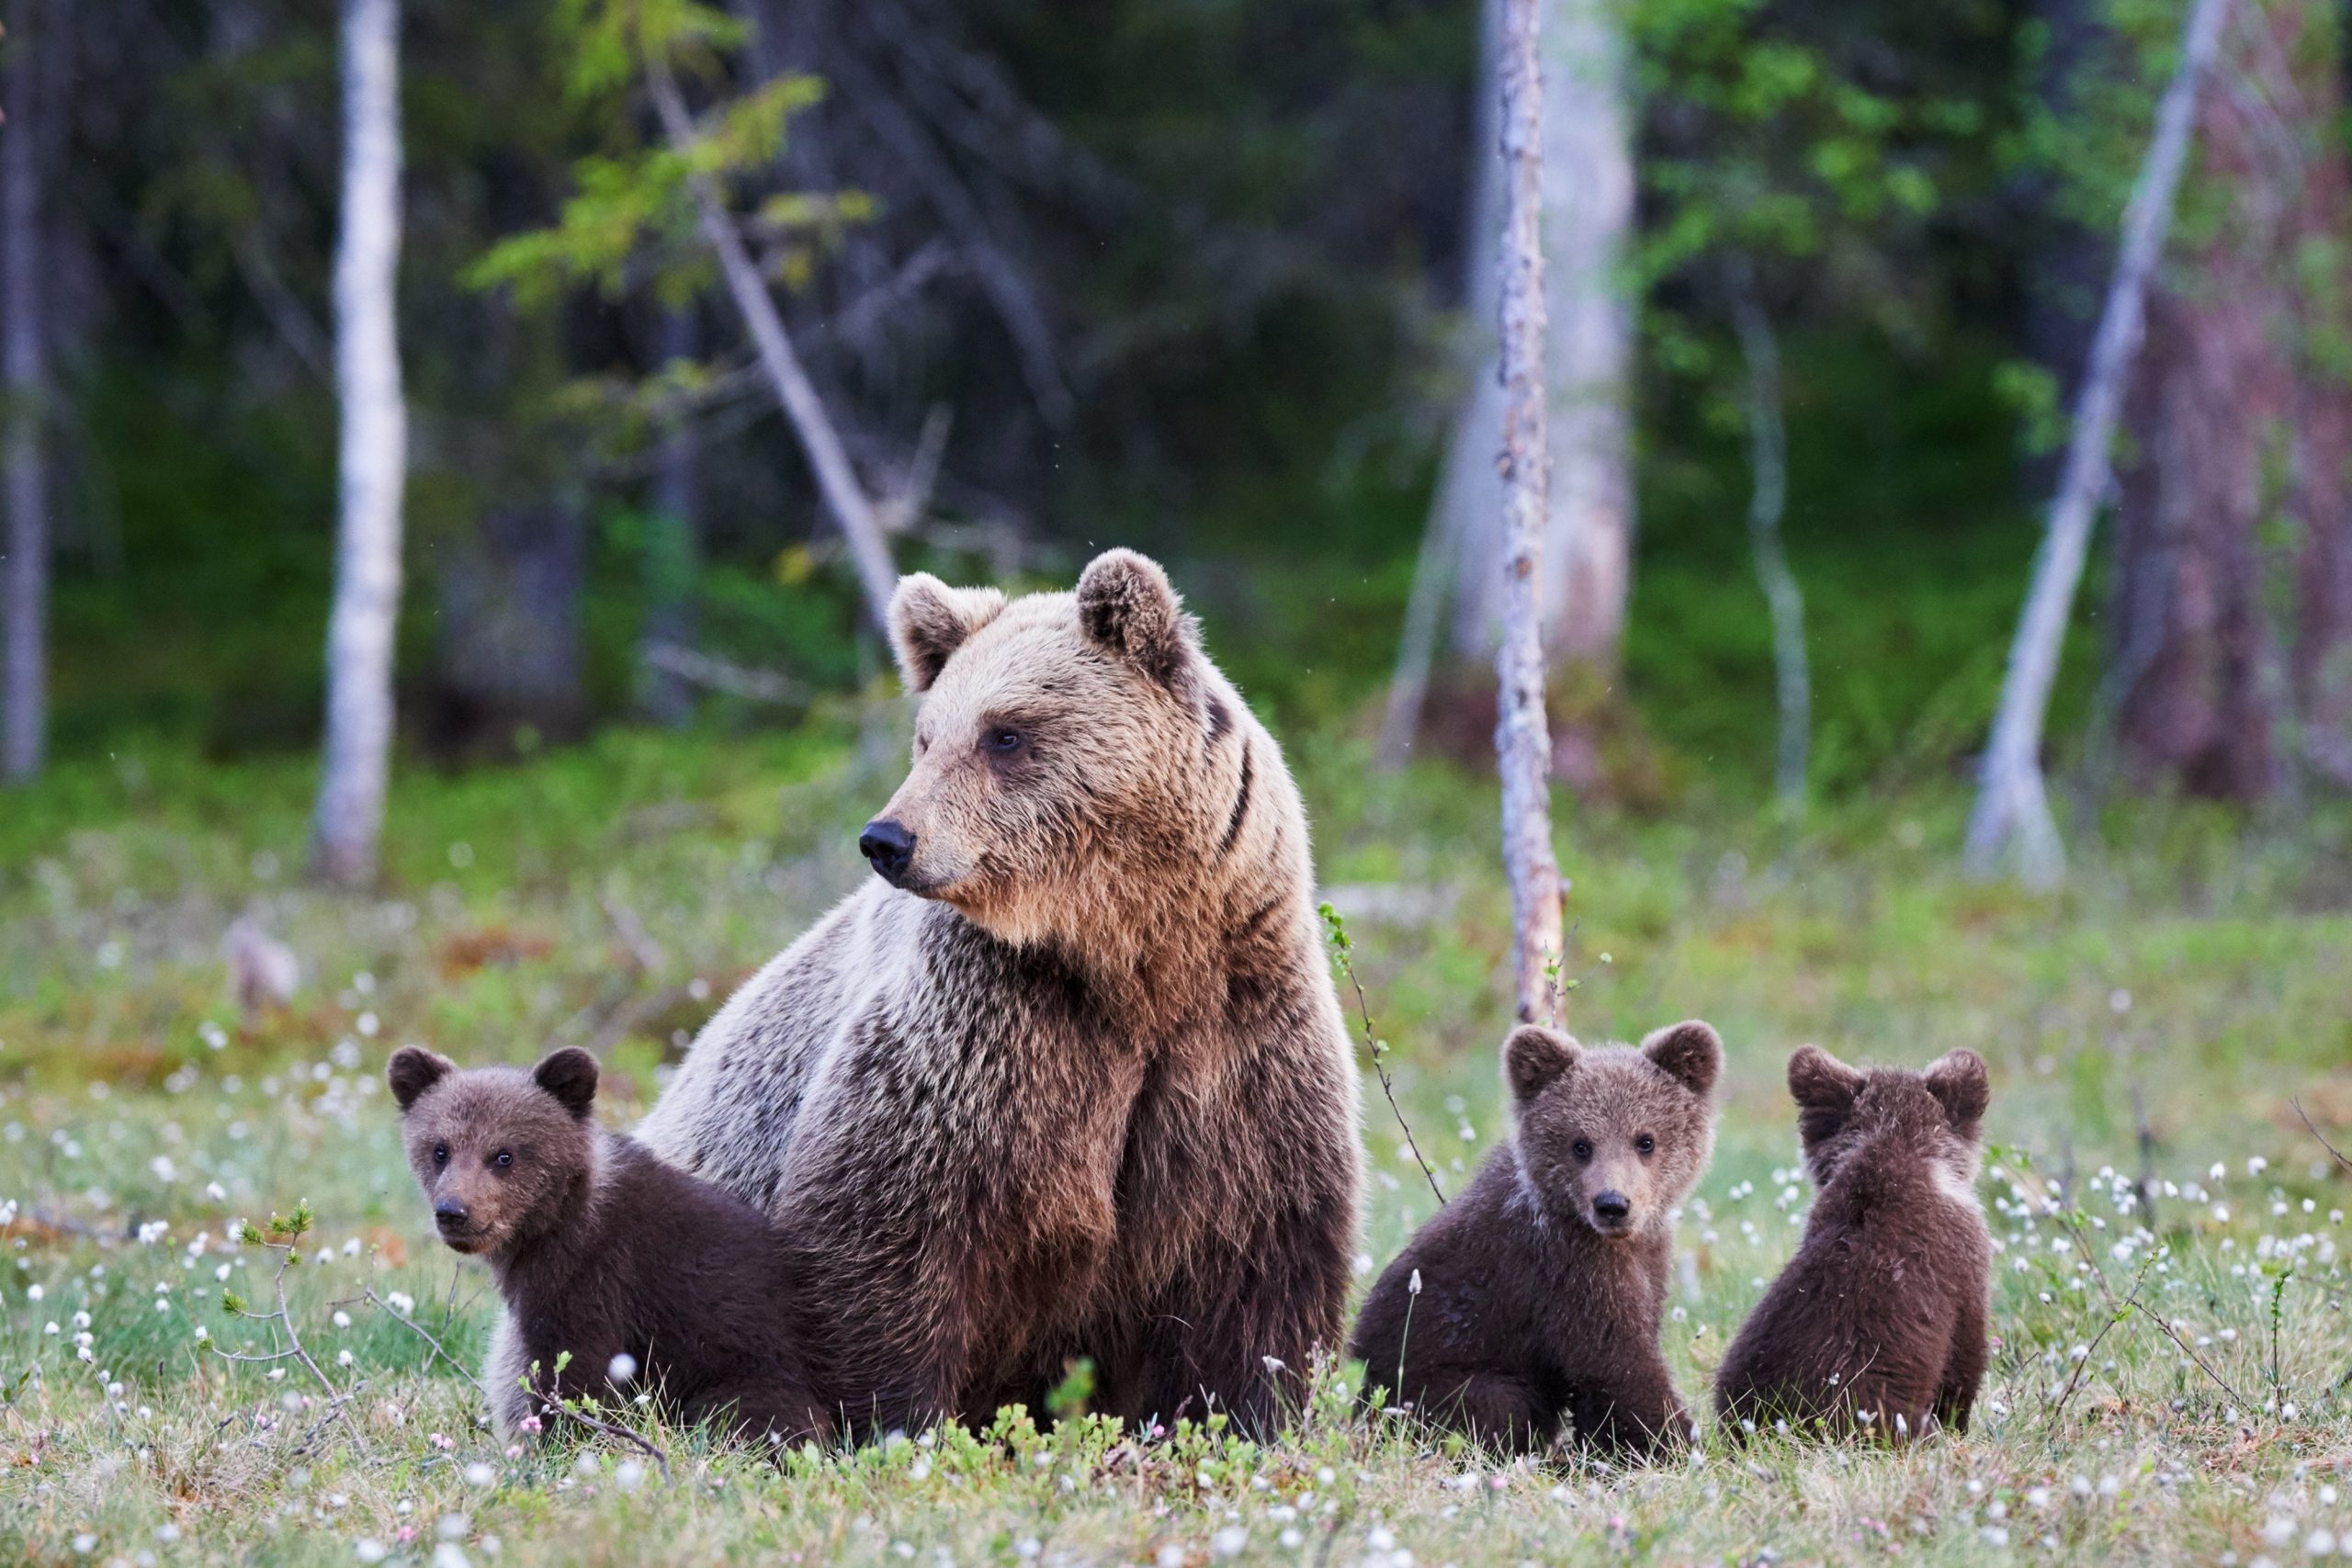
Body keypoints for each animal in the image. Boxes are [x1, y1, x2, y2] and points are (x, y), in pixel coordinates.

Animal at [635, 549, 1374, 1438]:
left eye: (1006, 732)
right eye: (927, 736)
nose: (888, 839)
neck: (1131, 956)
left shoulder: (1237, 1040)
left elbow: (1257, 1266)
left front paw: (1244, 1416)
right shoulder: (987, 1035)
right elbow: (886, 1233)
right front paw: (896, 1422)